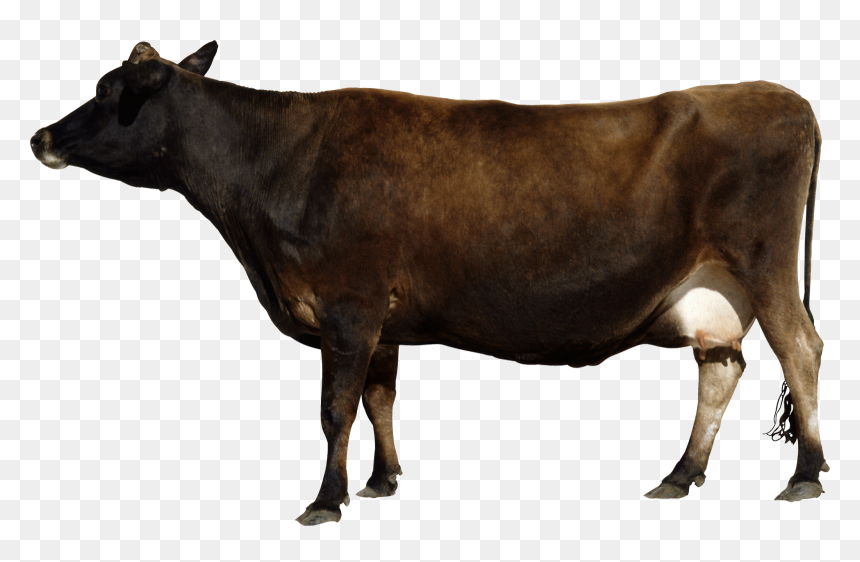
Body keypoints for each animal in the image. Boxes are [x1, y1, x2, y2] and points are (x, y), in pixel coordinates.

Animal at [30, 41, 827, 525]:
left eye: (109, 91)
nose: (41, 137)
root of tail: (786, 97)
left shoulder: (347, 306)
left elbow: (335, 410)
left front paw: (327, 500)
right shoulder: (380, 320)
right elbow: (379, 399)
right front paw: (383, 481)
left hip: (764, 263)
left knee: (801, 350)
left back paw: (806, 473)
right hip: (713, 292)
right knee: (721, 365)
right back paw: (680, 473)